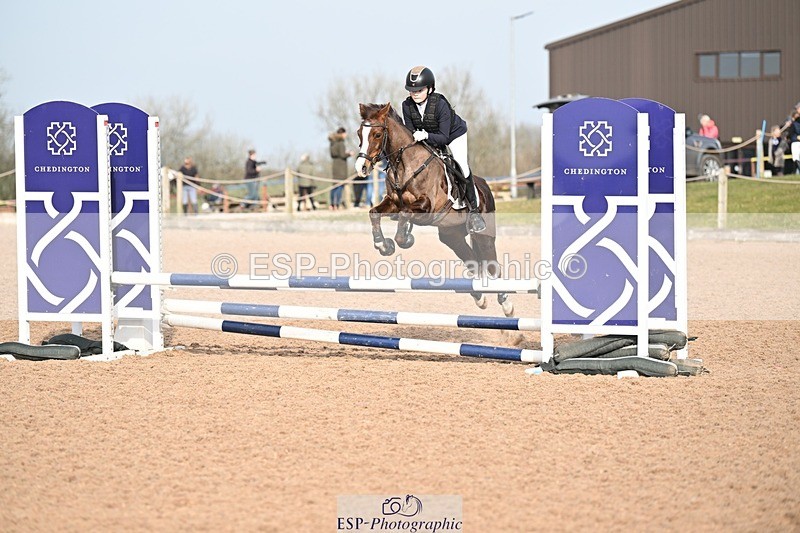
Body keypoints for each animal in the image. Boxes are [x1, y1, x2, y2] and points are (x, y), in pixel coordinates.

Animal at [354, 102, 515, 318]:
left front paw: (405, 239)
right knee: (473, 262)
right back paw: (479, 297)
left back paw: (506, 304)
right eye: (359, 133)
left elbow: (406, 215)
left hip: (484, 236)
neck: (405, 164)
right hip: (452, 236)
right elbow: (374, 213)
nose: (361, 168)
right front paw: (384, 245)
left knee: (492, 266)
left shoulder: (426, 206)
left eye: (377, 135)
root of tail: (485, 187)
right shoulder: (393, 203)